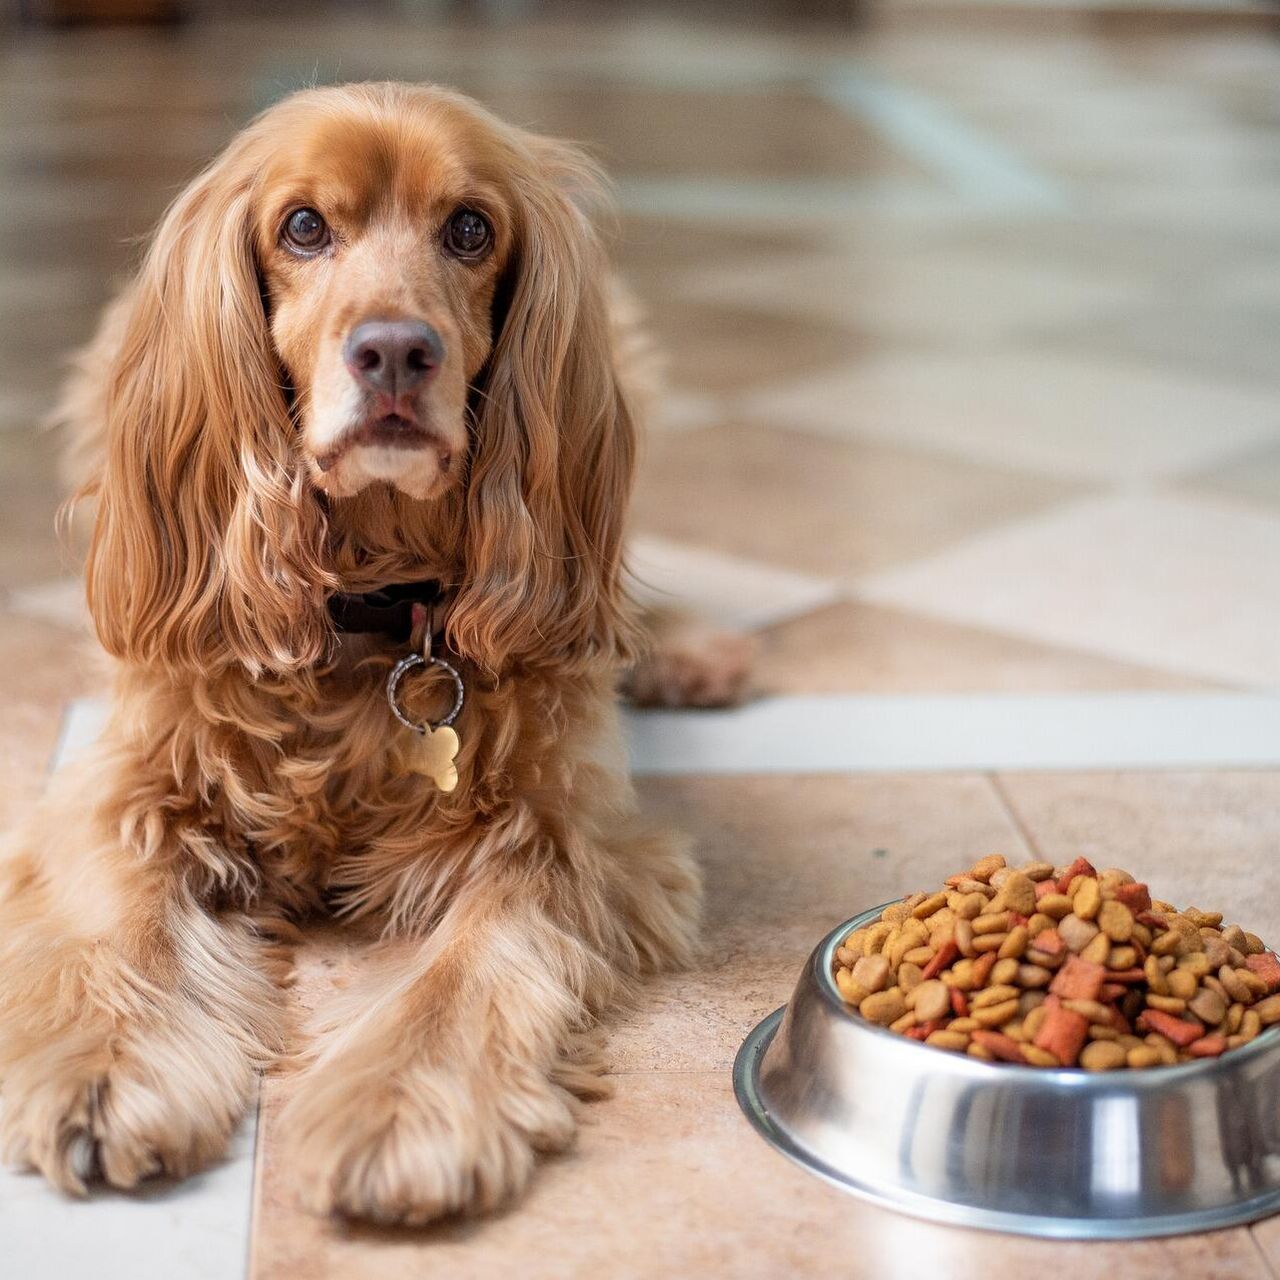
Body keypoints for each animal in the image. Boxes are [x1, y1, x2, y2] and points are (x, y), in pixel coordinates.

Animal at [0, 85, 747, 1223]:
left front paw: (401, 1111)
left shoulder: (561, 837)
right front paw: (104, 1071)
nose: (395, 352)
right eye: (305, 226)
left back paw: (684, 650)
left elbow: (468, 968)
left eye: (470, 229)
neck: (370, 613)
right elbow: (122, 924)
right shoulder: (125, 786)